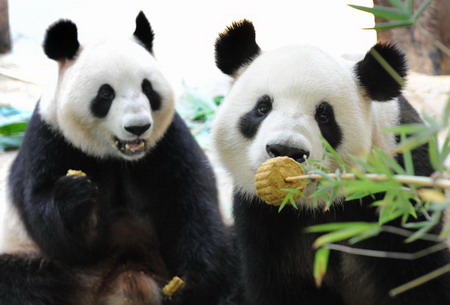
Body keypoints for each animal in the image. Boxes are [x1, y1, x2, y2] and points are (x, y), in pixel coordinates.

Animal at [0, 11, 239, 304]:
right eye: (106, 93)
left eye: (148, 88)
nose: (138, 127)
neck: (118, 156)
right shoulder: (49, 140)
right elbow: (52, 230)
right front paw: (76, 194)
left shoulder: (167, 141)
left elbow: (191, 204)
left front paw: (192, 287)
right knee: (18, 282)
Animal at [213, 20, 450, 302]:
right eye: (262, 107)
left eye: (324, 116)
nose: (286, 149)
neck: (316, 204)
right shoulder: (263, 216)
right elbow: (277, 282)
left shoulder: (398, 188)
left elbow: (415, 271)